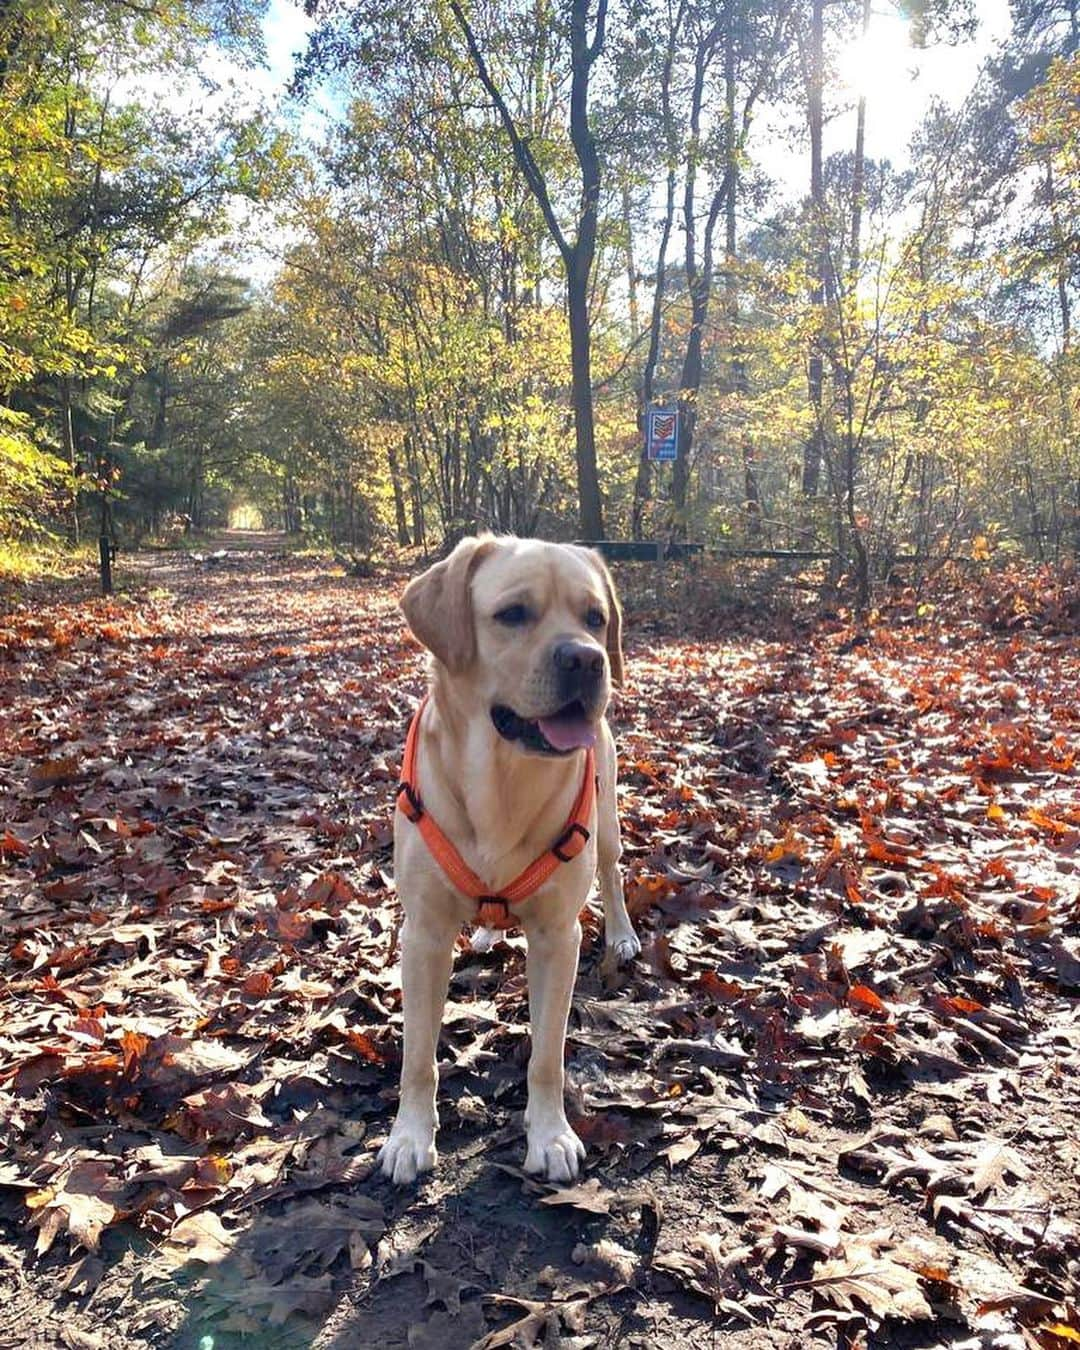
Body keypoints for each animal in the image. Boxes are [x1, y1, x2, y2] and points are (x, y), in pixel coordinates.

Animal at [378, 531, 637, 1188]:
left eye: (595, 618)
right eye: (513, 614)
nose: (588, 660)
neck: (502, 780)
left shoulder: (557, 936)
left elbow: (547, 1054)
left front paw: (550, 1136)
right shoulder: (423, 935)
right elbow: (418, 1056)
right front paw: (409, 1136)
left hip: (605, 816)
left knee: (613, 871)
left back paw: (623, 934)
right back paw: (488, 933)